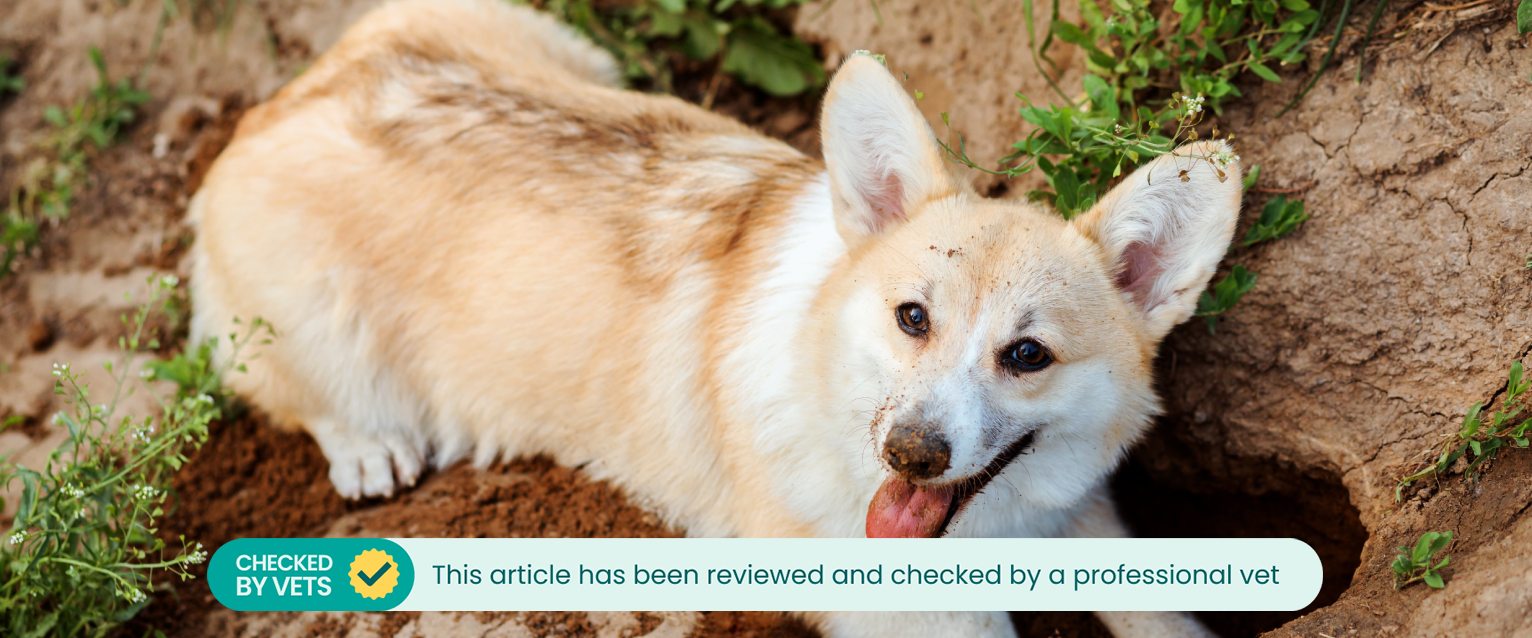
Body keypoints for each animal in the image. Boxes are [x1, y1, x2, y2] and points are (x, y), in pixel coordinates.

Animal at [191, 2, 1243, 634]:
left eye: (1027, 354)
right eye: (911, 317)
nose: (909, 454)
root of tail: (274, 106)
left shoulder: (1084, 514)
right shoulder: (913, 612)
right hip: (313, 332)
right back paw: (370, 448)